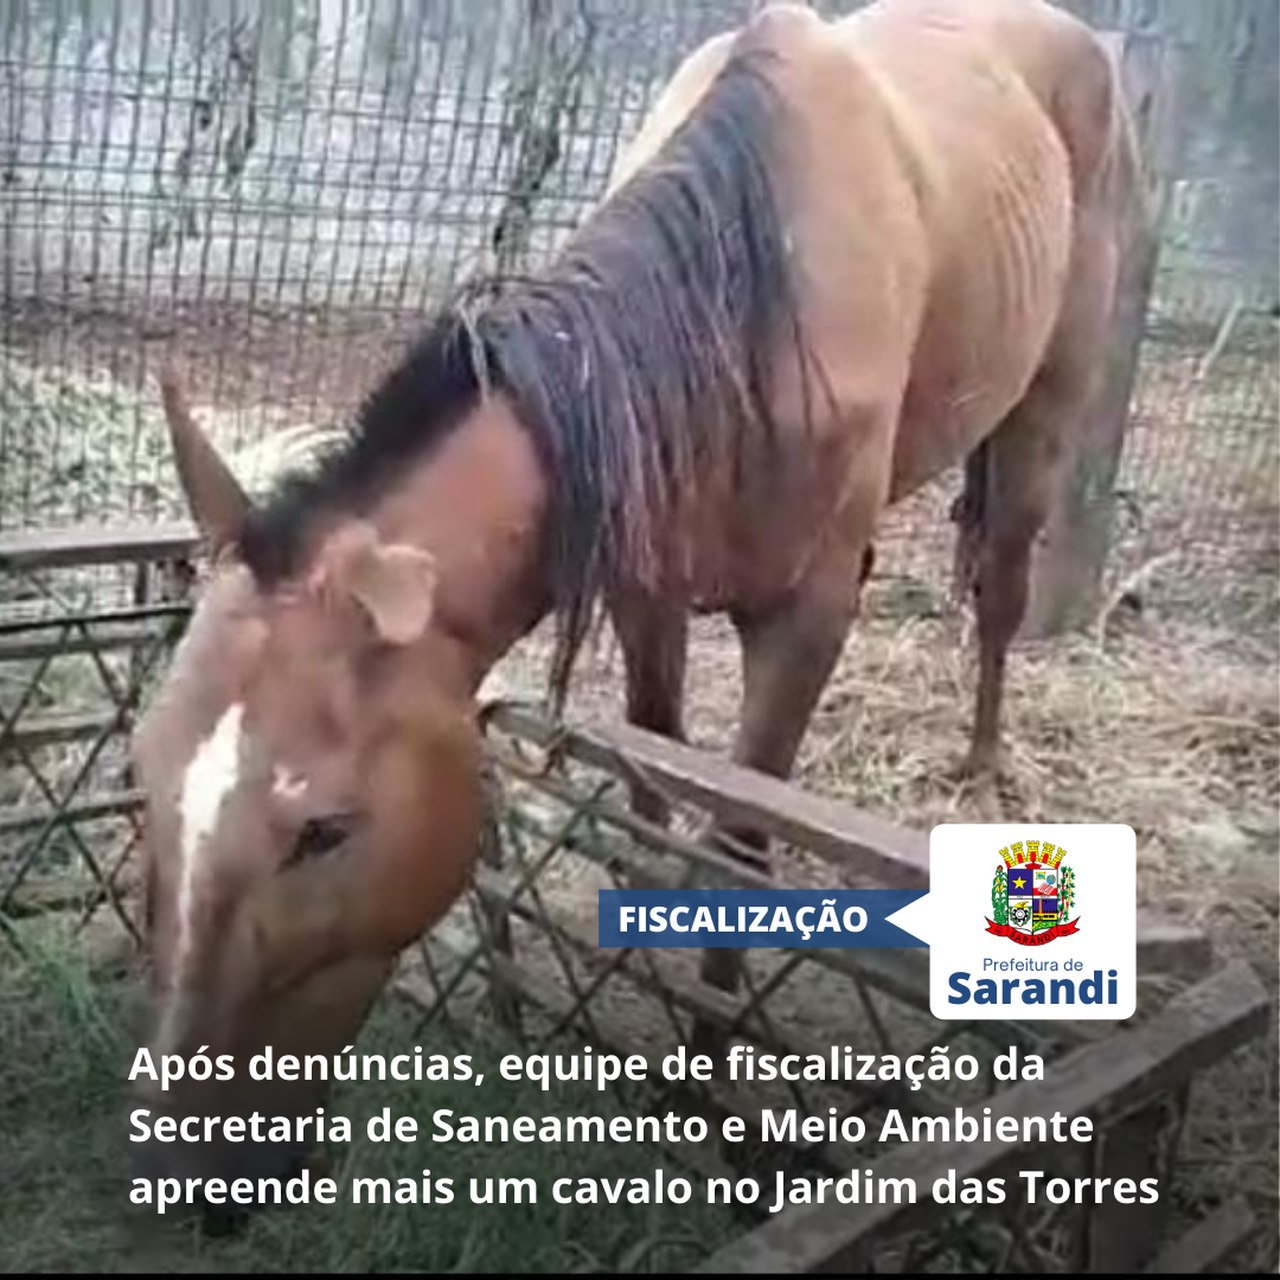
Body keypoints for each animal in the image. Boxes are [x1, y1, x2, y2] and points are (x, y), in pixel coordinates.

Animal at [129, 0, 1144, 1222]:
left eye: (323, 829)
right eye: (144, 775)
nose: (178, 1178)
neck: (732, 320)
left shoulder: (804, 620)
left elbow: (738, 838)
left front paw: (713, 1069)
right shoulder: (644, 595)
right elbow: (657, 795)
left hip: (1045, 407)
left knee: (998, 592)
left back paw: (985, 766)